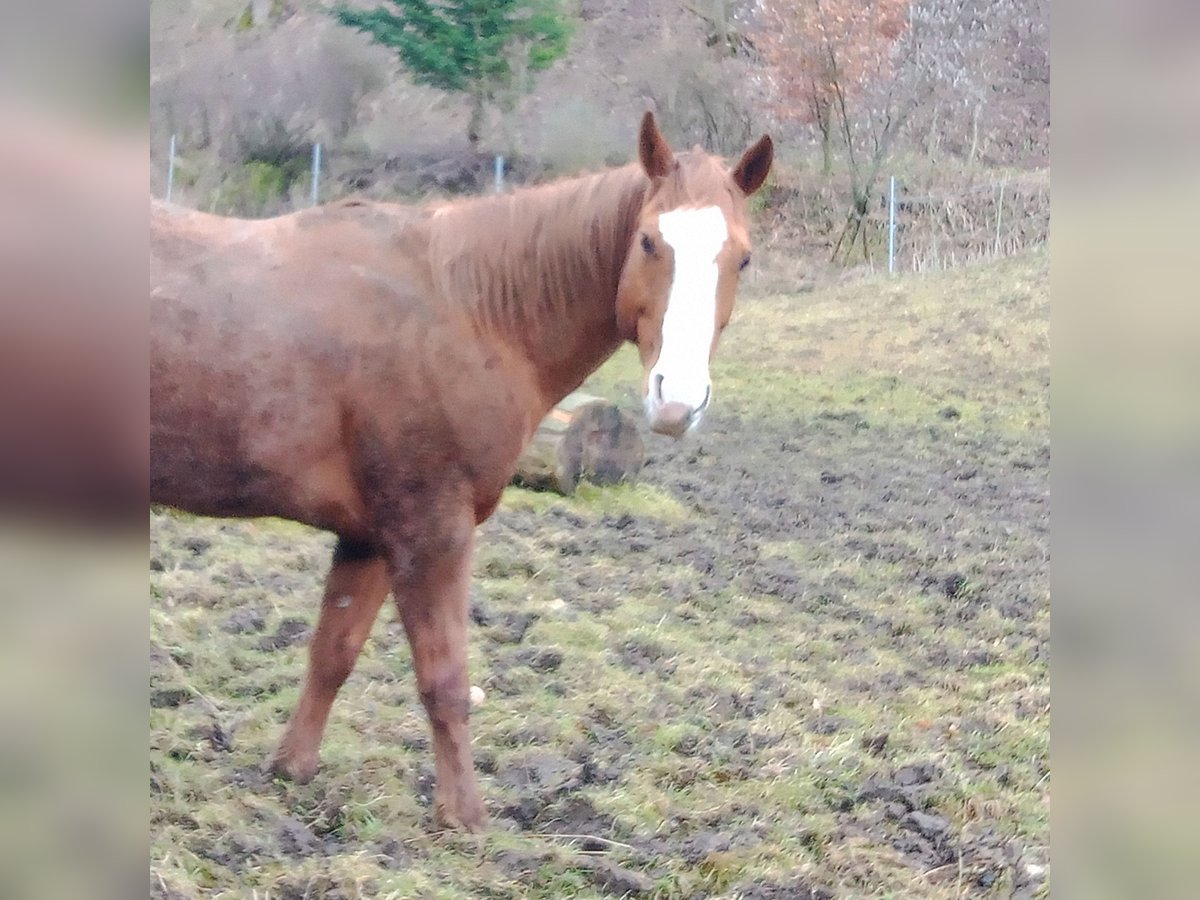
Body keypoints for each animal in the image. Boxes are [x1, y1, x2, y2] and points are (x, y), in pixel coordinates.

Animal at [150, 112, 772, 830]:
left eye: (742, 257)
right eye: (648, 241)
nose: (677, 401)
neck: (469, 308)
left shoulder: (369, 535)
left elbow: (333, 652)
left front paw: (292, 770)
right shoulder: (432, 528)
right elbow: (445, 678)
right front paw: (465, 817)